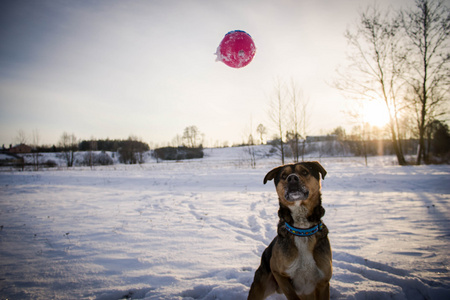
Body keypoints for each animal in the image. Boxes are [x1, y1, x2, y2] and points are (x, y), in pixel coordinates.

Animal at [248, 163, 332, 298]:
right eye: (283, 176)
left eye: (304, 172)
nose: (292, 178)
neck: (302, 230)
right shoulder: (278, 272)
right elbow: (291, 294)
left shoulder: (323, 282)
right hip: (260, 286)